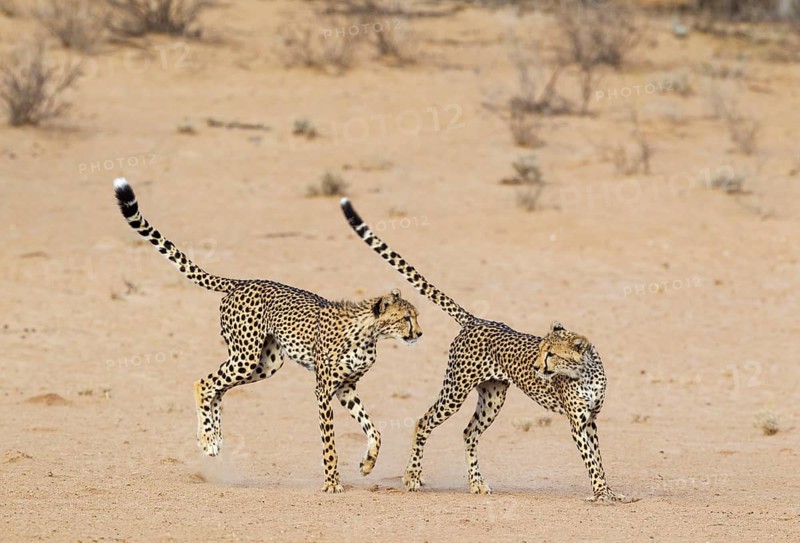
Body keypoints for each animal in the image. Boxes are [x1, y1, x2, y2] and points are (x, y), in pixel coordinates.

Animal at [112, 178, 422, 493]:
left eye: (414, 316)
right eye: (406, 318)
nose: (419, 333)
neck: (368, 333)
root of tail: (243, 281)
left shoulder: (346, 388)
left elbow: (374, 429)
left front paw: (368, 463)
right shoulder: (324, 390)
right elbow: (330, 443)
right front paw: (332, 482)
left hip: (265, 364)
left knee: (218, 388)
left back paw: (215, 440)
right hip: (247, 357)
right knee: (204, 383)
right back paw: (207, 440)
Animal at [339, 197, 634, 503]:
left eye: (551, 353)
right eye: (542, 350)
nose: (537, 367)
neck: (585, 371)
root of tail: (476, 319)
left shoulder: (591, 420)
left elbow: (598, 459)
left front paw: (610, 492)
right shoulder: (577, 423)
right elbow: (591, 460)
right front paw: (601, 493)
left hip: (493, 397)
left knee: (469, 432)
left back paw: (477, 483)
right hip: (455, 391)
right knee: (423, 421)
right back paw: (412, 477)